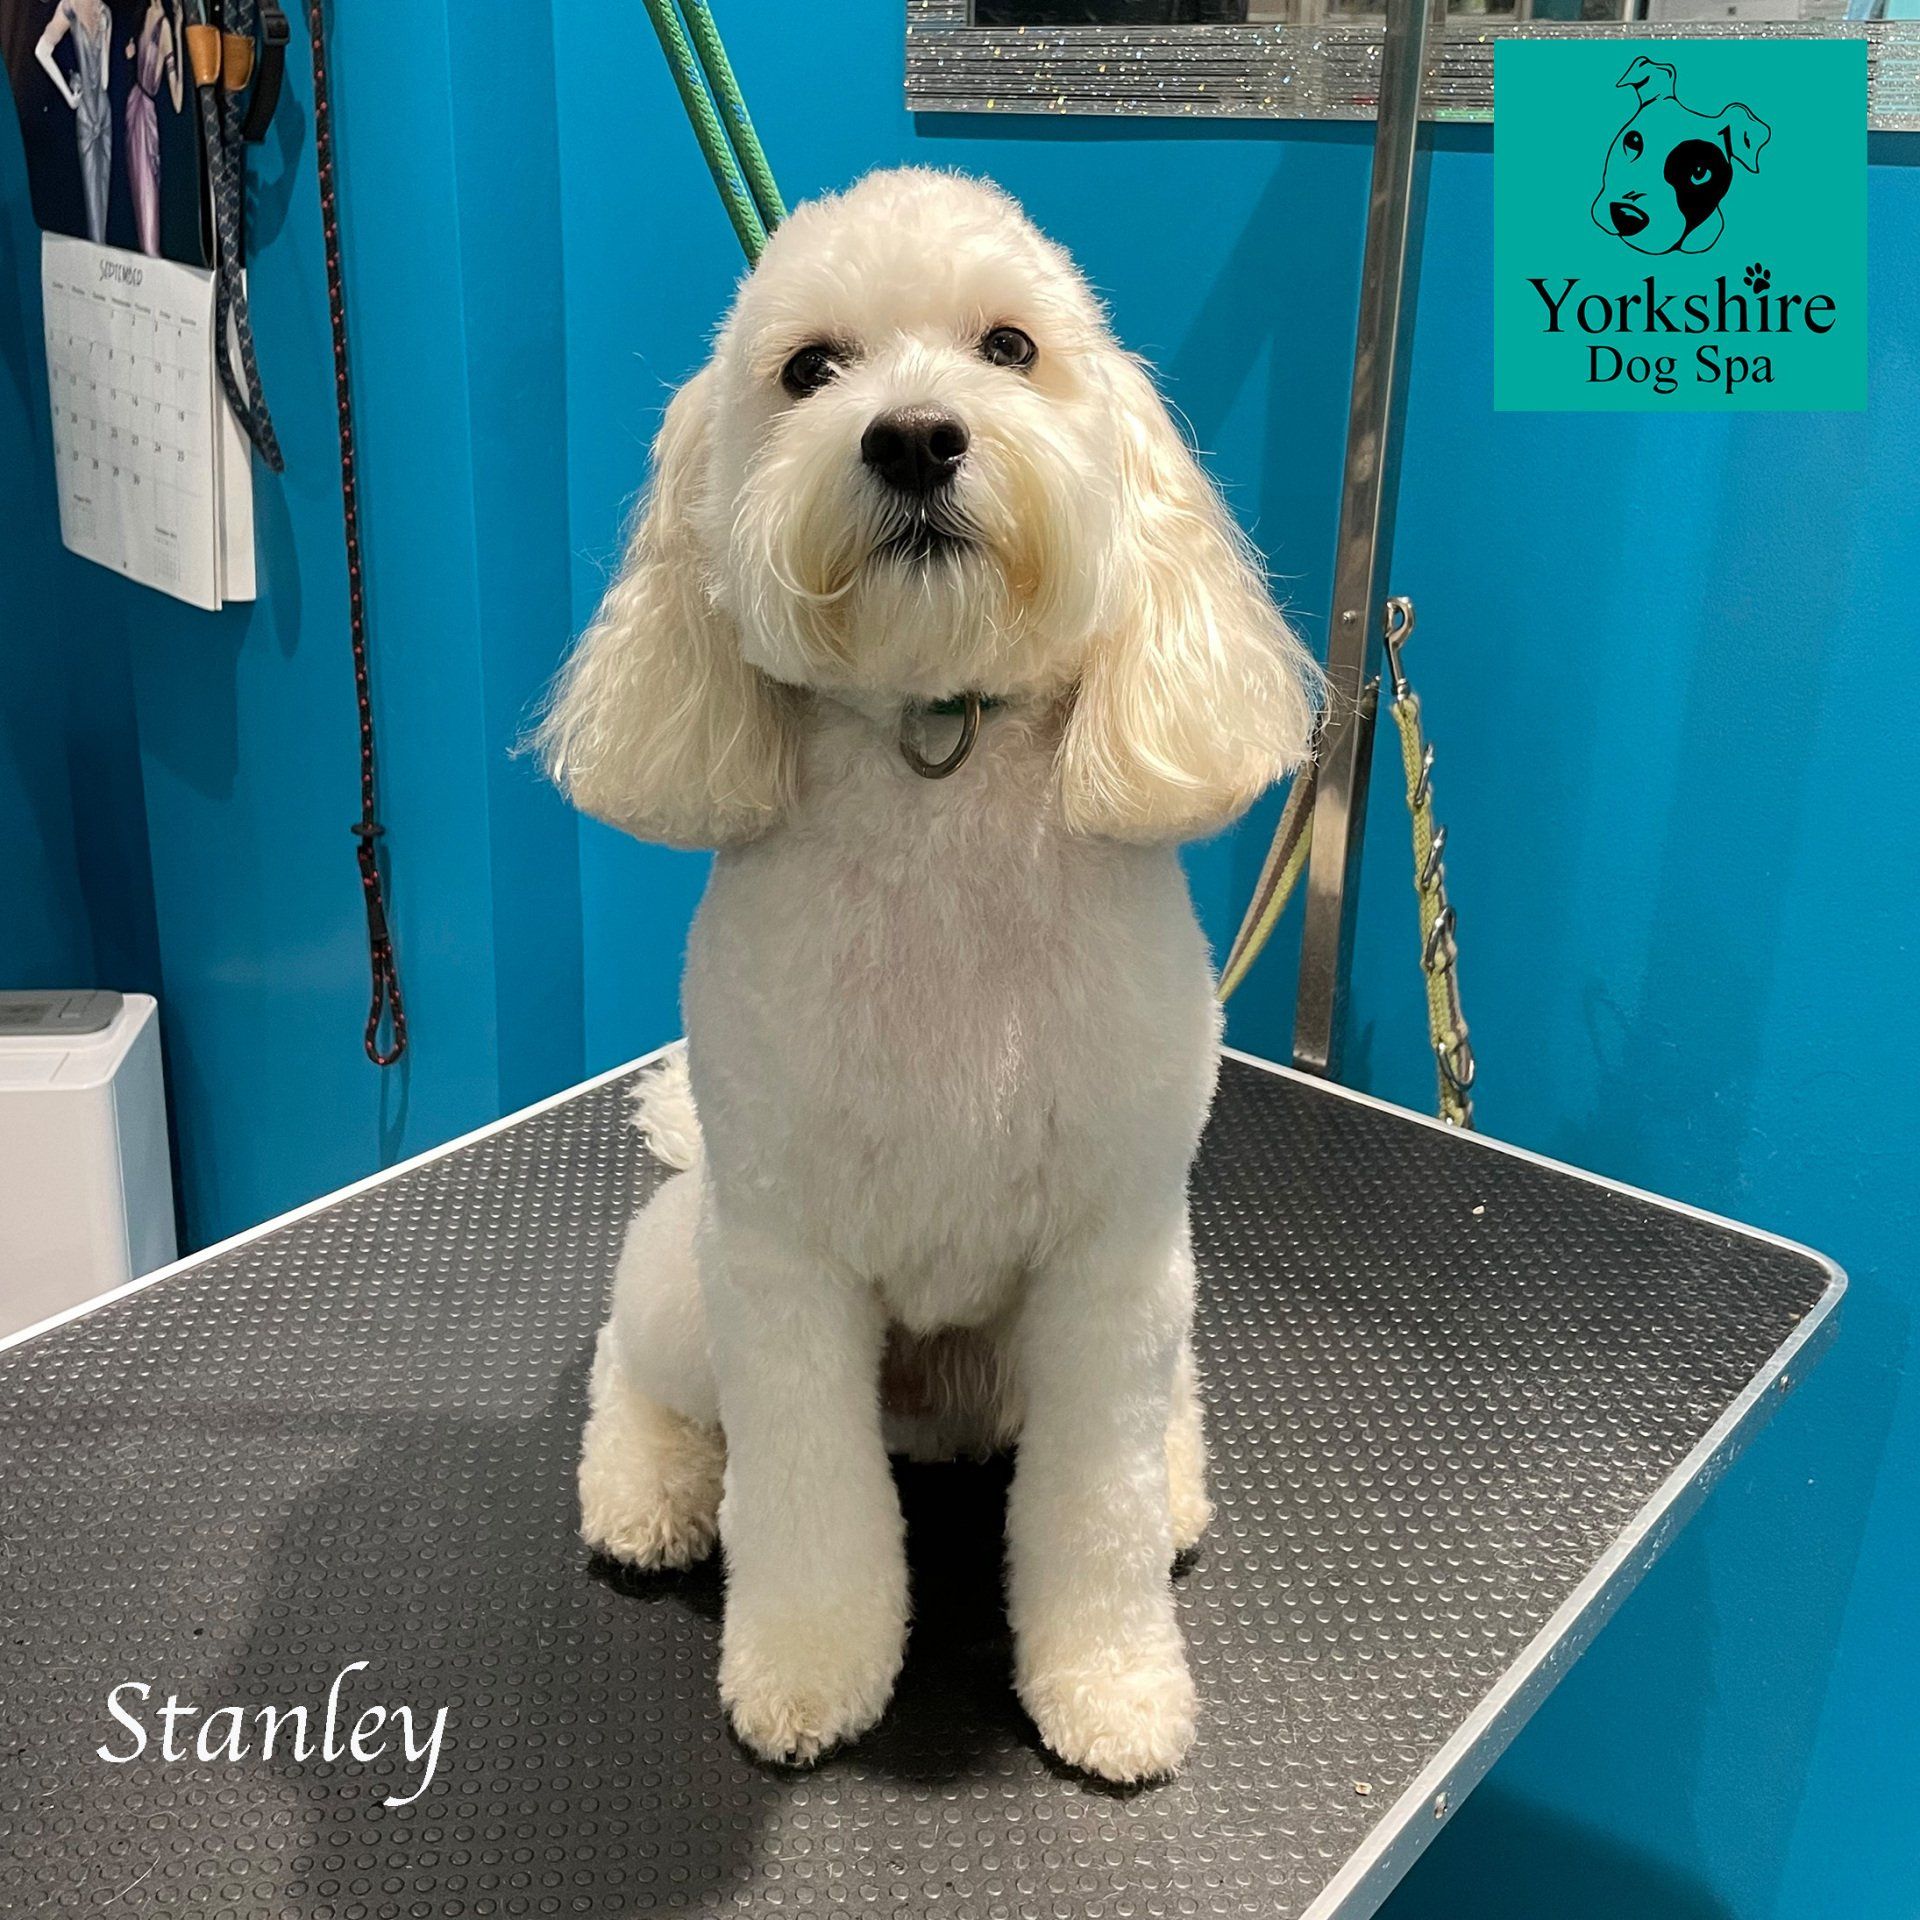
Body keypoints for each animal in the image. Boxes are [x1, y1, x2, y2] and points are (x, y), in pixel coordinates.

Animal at [539, 166, 1317, 1783]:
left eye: (1009, 348)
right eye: (808, 371)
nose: (910, 435)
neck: (934, 751)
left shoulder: (1111, 1264)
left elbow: (1093, 1519)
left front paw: (1108, 1683)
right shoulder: (782, 1264)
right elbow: (806, 1504)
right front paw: (806, 1668)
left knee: (1144, 1437)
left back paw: (1179, 1476)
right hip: (687, 1280)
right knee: (631, 1369)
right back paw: (647, 1489)